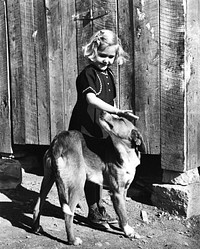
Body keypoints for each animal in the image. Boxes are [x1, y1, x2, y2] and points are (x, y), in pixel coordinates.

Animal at [32, 111, 145, 245]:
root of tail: (58, 140)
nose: (103, 111)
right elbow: (123, 215)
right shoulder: (117, 192)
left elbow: (122, 212)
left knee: (37, 205)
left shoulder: (124, 190)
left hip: (48, 180)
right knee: (68, 214)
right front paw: (128, 231)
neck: (125, 152)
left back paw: (36, 228)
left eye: (121, 119)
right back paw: (72, 240)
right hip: (78, 185)